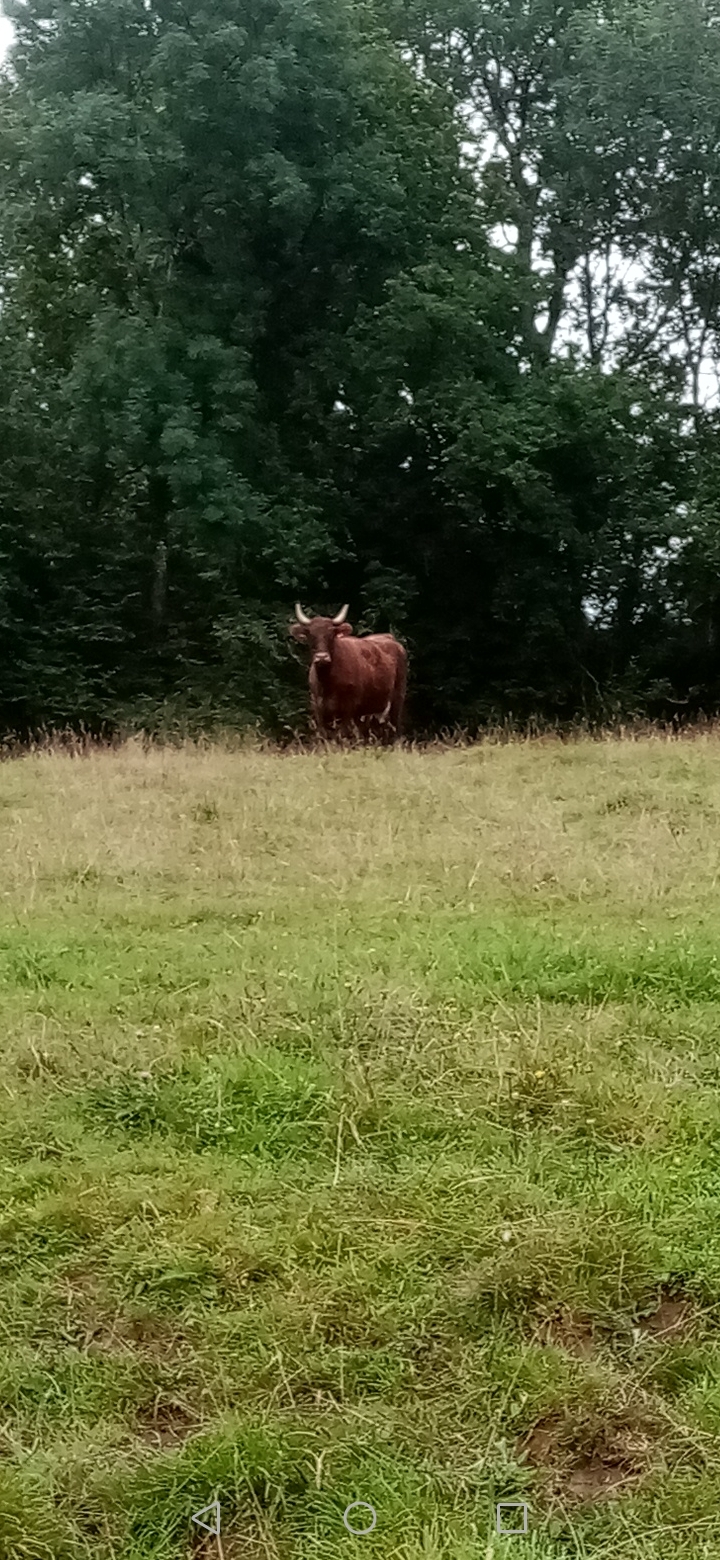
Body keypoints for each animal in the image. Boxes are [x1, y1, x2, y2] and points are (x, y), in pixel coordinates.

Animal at [291, 602, 405, 742]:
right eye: (310, 635)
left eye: (331, 635)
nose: (322, 657)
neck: (327, 682)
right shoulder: (318, 707)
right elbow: (324, 735)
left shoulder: (348, 707)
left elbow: (342, 734)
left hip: (397, 698)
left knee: (395, 726)